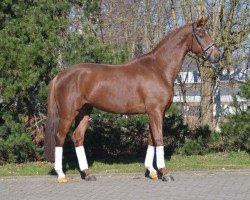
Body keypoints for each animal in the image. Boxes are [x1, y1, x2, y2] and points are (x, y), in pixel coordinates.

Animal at [44, 17, 221, 183]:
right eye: (200, 34)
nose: (217, 56)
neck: (159, 68)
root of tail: (61, 75)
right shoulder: (155, 111)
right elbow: (158, 138)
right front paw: (164, 173)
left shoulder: (155, 112)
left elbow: (151, 139)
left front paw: (152, 171)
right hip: (68, 114)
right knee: (59, 137)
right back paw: (61, 174)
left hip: (84, 112)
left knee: (78, 137)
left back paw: (87, 174)